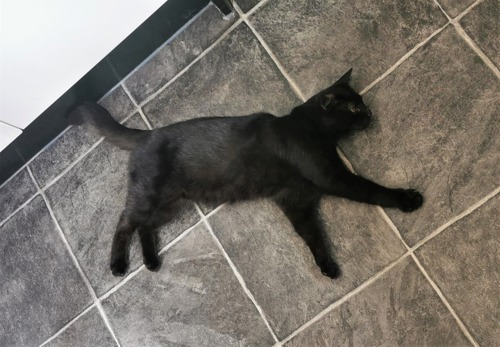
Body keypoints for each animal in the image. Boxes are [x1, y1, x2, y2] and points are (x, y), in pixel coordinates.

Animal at [69, 70, 422, 280]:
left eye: (361, 102)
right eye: (352, 109)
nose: (369, 113)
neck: (308, 127)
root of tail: (146, 135)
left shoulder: (296, 201)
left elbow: (311, 234)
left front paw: (325, 265)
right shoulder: (331, 178)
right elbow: (370, 190)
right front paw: (407, 199)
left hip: (171, 205)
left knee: (145, 226)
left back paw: (151, 261)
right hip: (147, 196)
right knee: (125, 223)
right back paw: (118, 264)